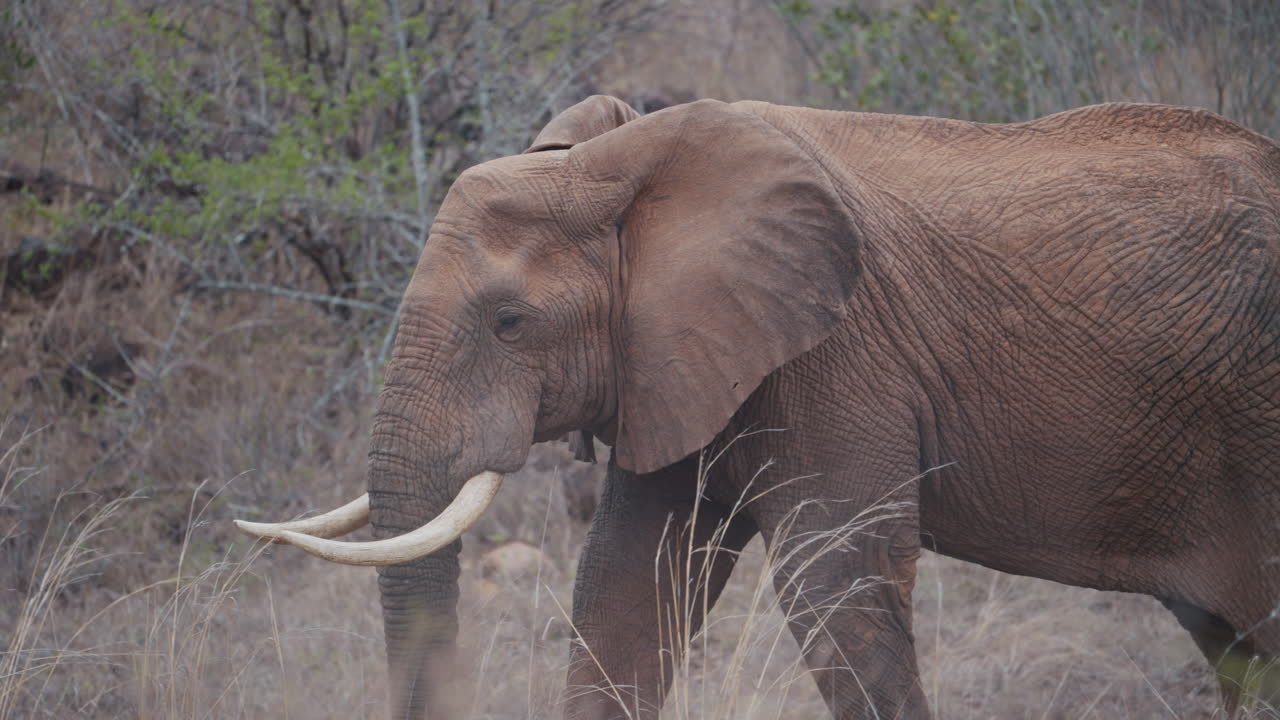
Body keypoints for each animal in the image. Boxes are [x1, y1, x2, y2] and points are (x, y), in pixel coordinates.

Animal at [236, 95, 1280, 719]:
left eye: (508, 322)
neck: (630, 162)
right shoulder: (676, 357)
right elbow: (625, 585)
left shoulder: (839, 355)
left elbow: (835, 588)